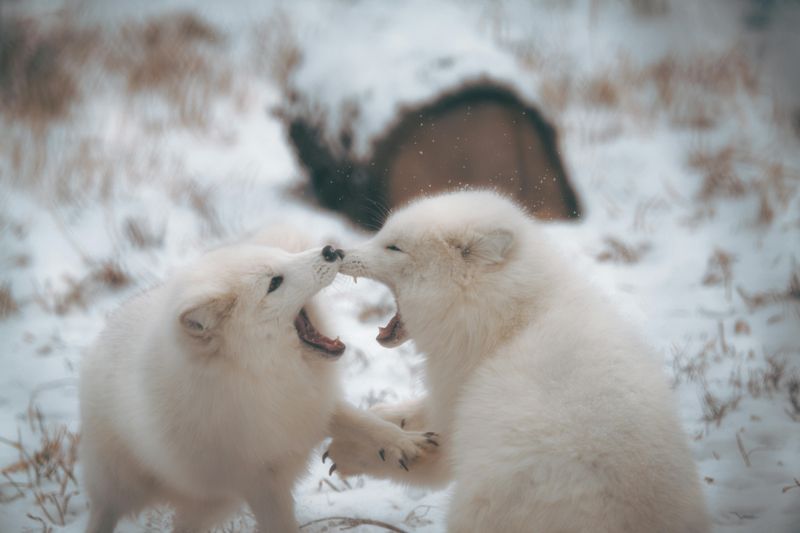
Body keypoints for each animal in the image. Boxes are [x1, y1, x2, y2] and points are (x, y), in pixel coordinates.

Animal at [81, 232, 438, 532]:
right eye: (274, 283)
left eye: (284, 257)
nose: (330, 249)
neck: (263, 375)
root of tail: (104, 333)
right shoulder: (261, 480)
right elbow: (282, 526)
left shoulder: (313, 406)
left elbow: (365, 422)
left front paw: (405, 442)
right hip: (119, 487)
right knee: (103, 515)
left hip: (211, 505)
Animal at [328, 191, 708, 532]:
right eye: (381, 235)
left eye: (393, 247)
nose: (339, 251)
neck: (512, 321)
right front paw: (380, 419)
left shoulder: (456, 410)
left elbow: (428, 462)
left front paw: (354, 450)